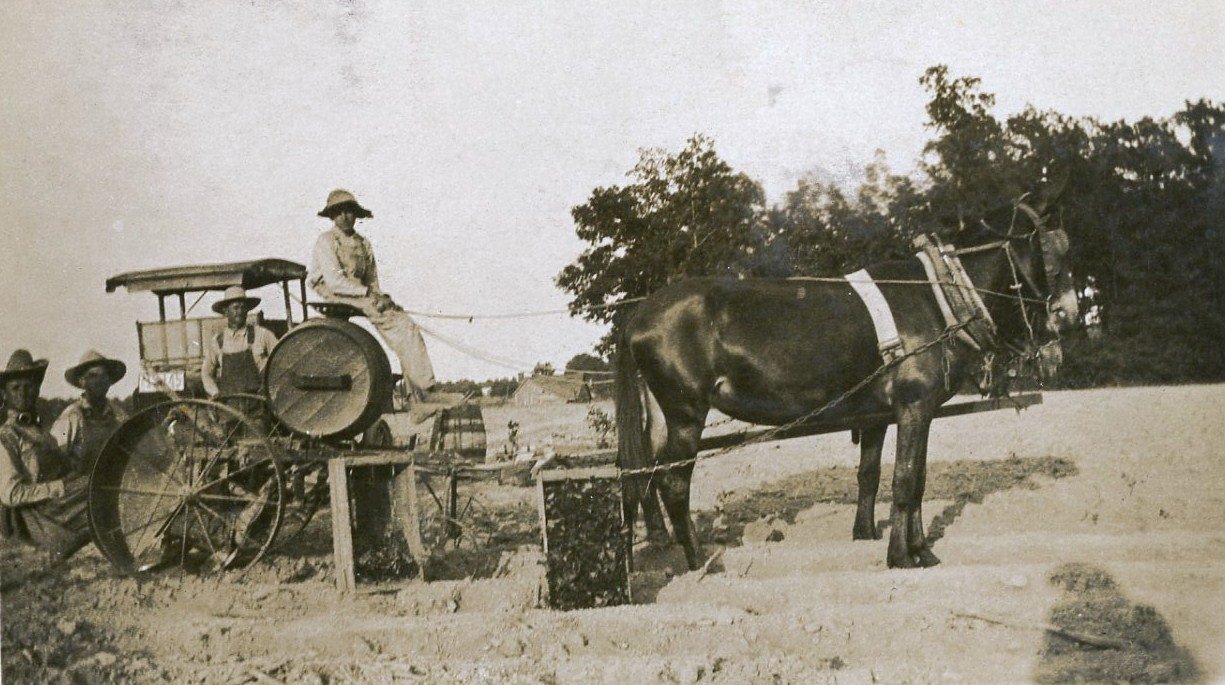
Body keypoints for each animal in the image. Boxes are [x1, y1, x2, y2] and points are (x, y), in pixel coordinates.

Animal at [615, 190, 1078, 570]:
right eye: (1052, 251)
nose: (1069, 315)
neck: (936, 296)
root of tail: (639, 313)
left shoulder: (887, 413)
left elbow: (894, 477)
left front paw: (915, 548)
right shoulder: (914, 405)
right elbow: (905, 480)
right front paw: (902, 556)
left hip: (663, 417)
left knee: (646, 476)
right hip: (686, 413)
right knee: (674, 483)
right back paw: (700, 563)